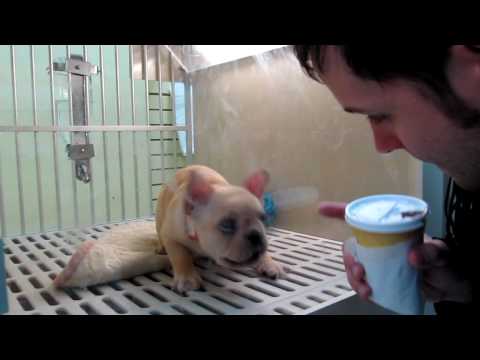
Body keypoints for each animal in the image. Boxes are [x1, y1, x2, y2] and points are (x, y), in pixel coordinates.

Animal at [155, 165, 284, 294]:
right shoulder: (171, 238)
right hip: (159, 220)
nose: (255, 235)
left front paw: (269, 263)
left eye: (263, 218)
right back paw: (161, 248)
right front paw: (187, 280)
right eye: (226, 225)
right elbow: (181, 257)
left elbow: (264, 252)